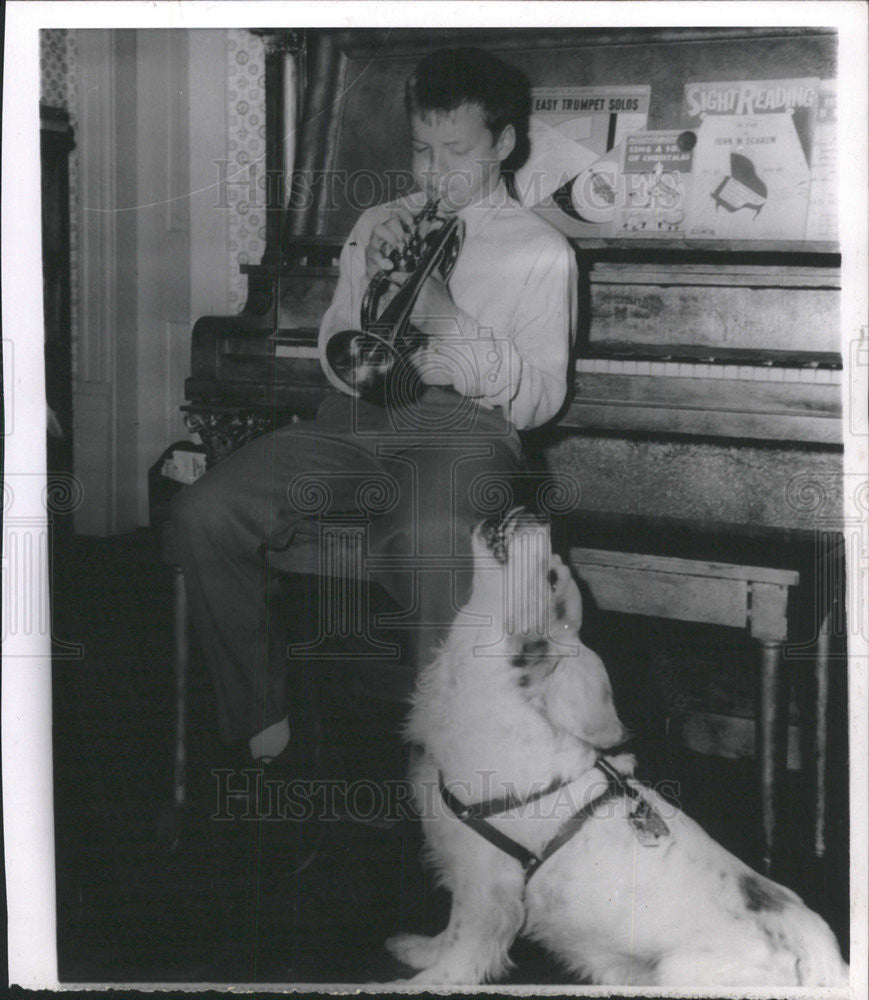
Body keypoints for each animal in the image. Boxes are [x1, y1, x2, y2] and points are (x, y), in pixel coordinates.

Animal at [386, 512, 848, 988]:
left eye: (552, 576)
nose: (537, 515)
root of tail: (825, 961)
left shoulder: (488, 885)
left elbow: (462, 950)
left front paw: (418, 983)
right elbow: (449, 933)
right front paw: (419, 950)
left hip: (677, 971)